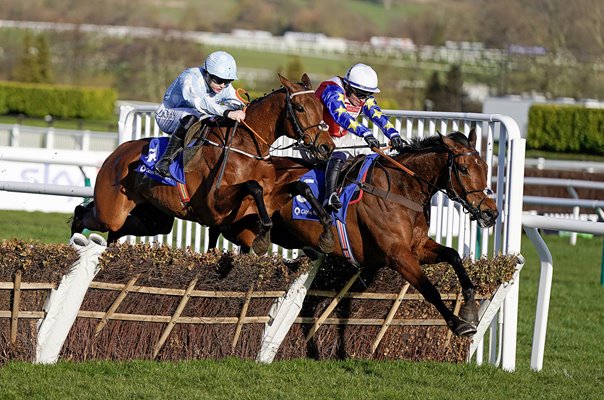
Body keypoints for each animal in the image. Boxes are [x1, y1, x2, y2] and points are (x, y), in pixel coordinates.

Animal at [72, 74, 336, 253]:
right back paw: (76, 237)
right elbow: (253, 186)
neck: (247, 149)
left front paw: (327, 231)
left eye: (321, 107)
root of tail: (116, 153)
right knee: (85, 215)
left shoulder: (269, 198)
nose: (327, 147)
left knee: (119, 230)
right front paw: (263, 239)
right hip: (111, 210)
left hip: (153, 217)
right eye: (300, 108)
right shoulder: (214, 206)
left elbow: (299, 186)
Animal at [215, 130, 498, 336]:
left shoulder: (417, 246)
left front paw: (470, 309)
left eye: (485, 166)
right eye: (463, 169)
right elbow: (429, 289)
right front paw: (458, 323)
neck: (401, 190)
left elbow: (453, 255)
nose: (490, 213)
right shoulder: (397, 255)